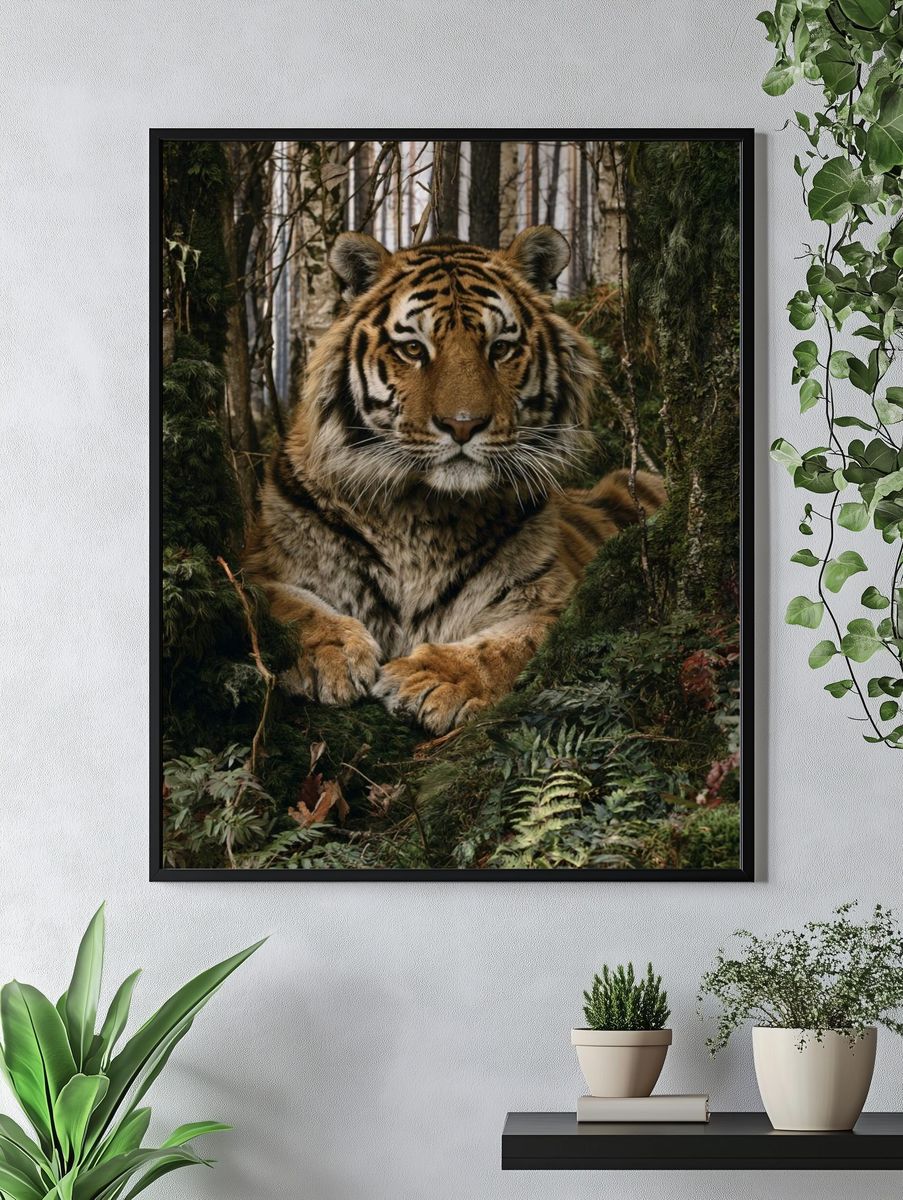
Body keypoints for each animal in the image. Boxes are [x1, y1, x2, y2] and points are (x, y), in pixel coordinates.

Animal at [243, 225, 664, 736]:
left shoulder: (560, 595)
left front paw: (435, 677)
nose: (463, 425)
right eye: (413, 349)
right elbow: (278, 601)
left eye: (500, 348)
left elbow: (518, 641)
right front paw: (331, 653)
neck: (420, 516)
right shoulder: (256, 561)